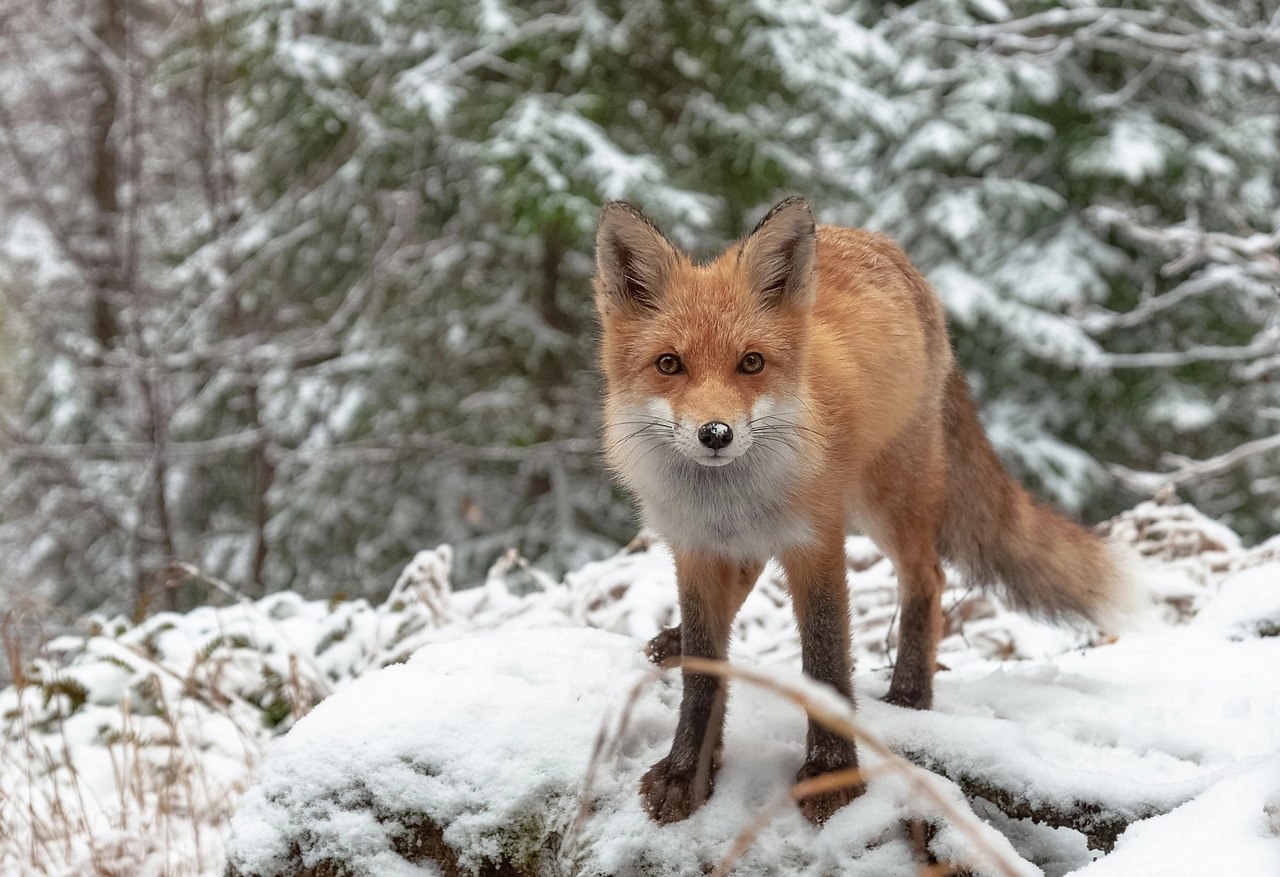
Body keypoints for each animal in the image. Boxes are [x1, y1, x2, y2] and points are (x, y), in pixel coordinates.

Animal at [593, 198, 1136, 829]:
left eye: (751, 363)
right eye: (669, 364)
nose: (716, 434)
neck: (730, 499)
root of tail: (886, 246)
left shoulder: (818, 540)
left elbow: (826, 662)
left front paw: (831, 774)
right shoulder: (696, 547)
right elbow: (705, 670)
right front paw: (687, 771)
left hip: (888, 497)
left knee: (929, 577)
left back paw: (911, 694)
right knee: (748, 576)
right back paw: (678, 640)